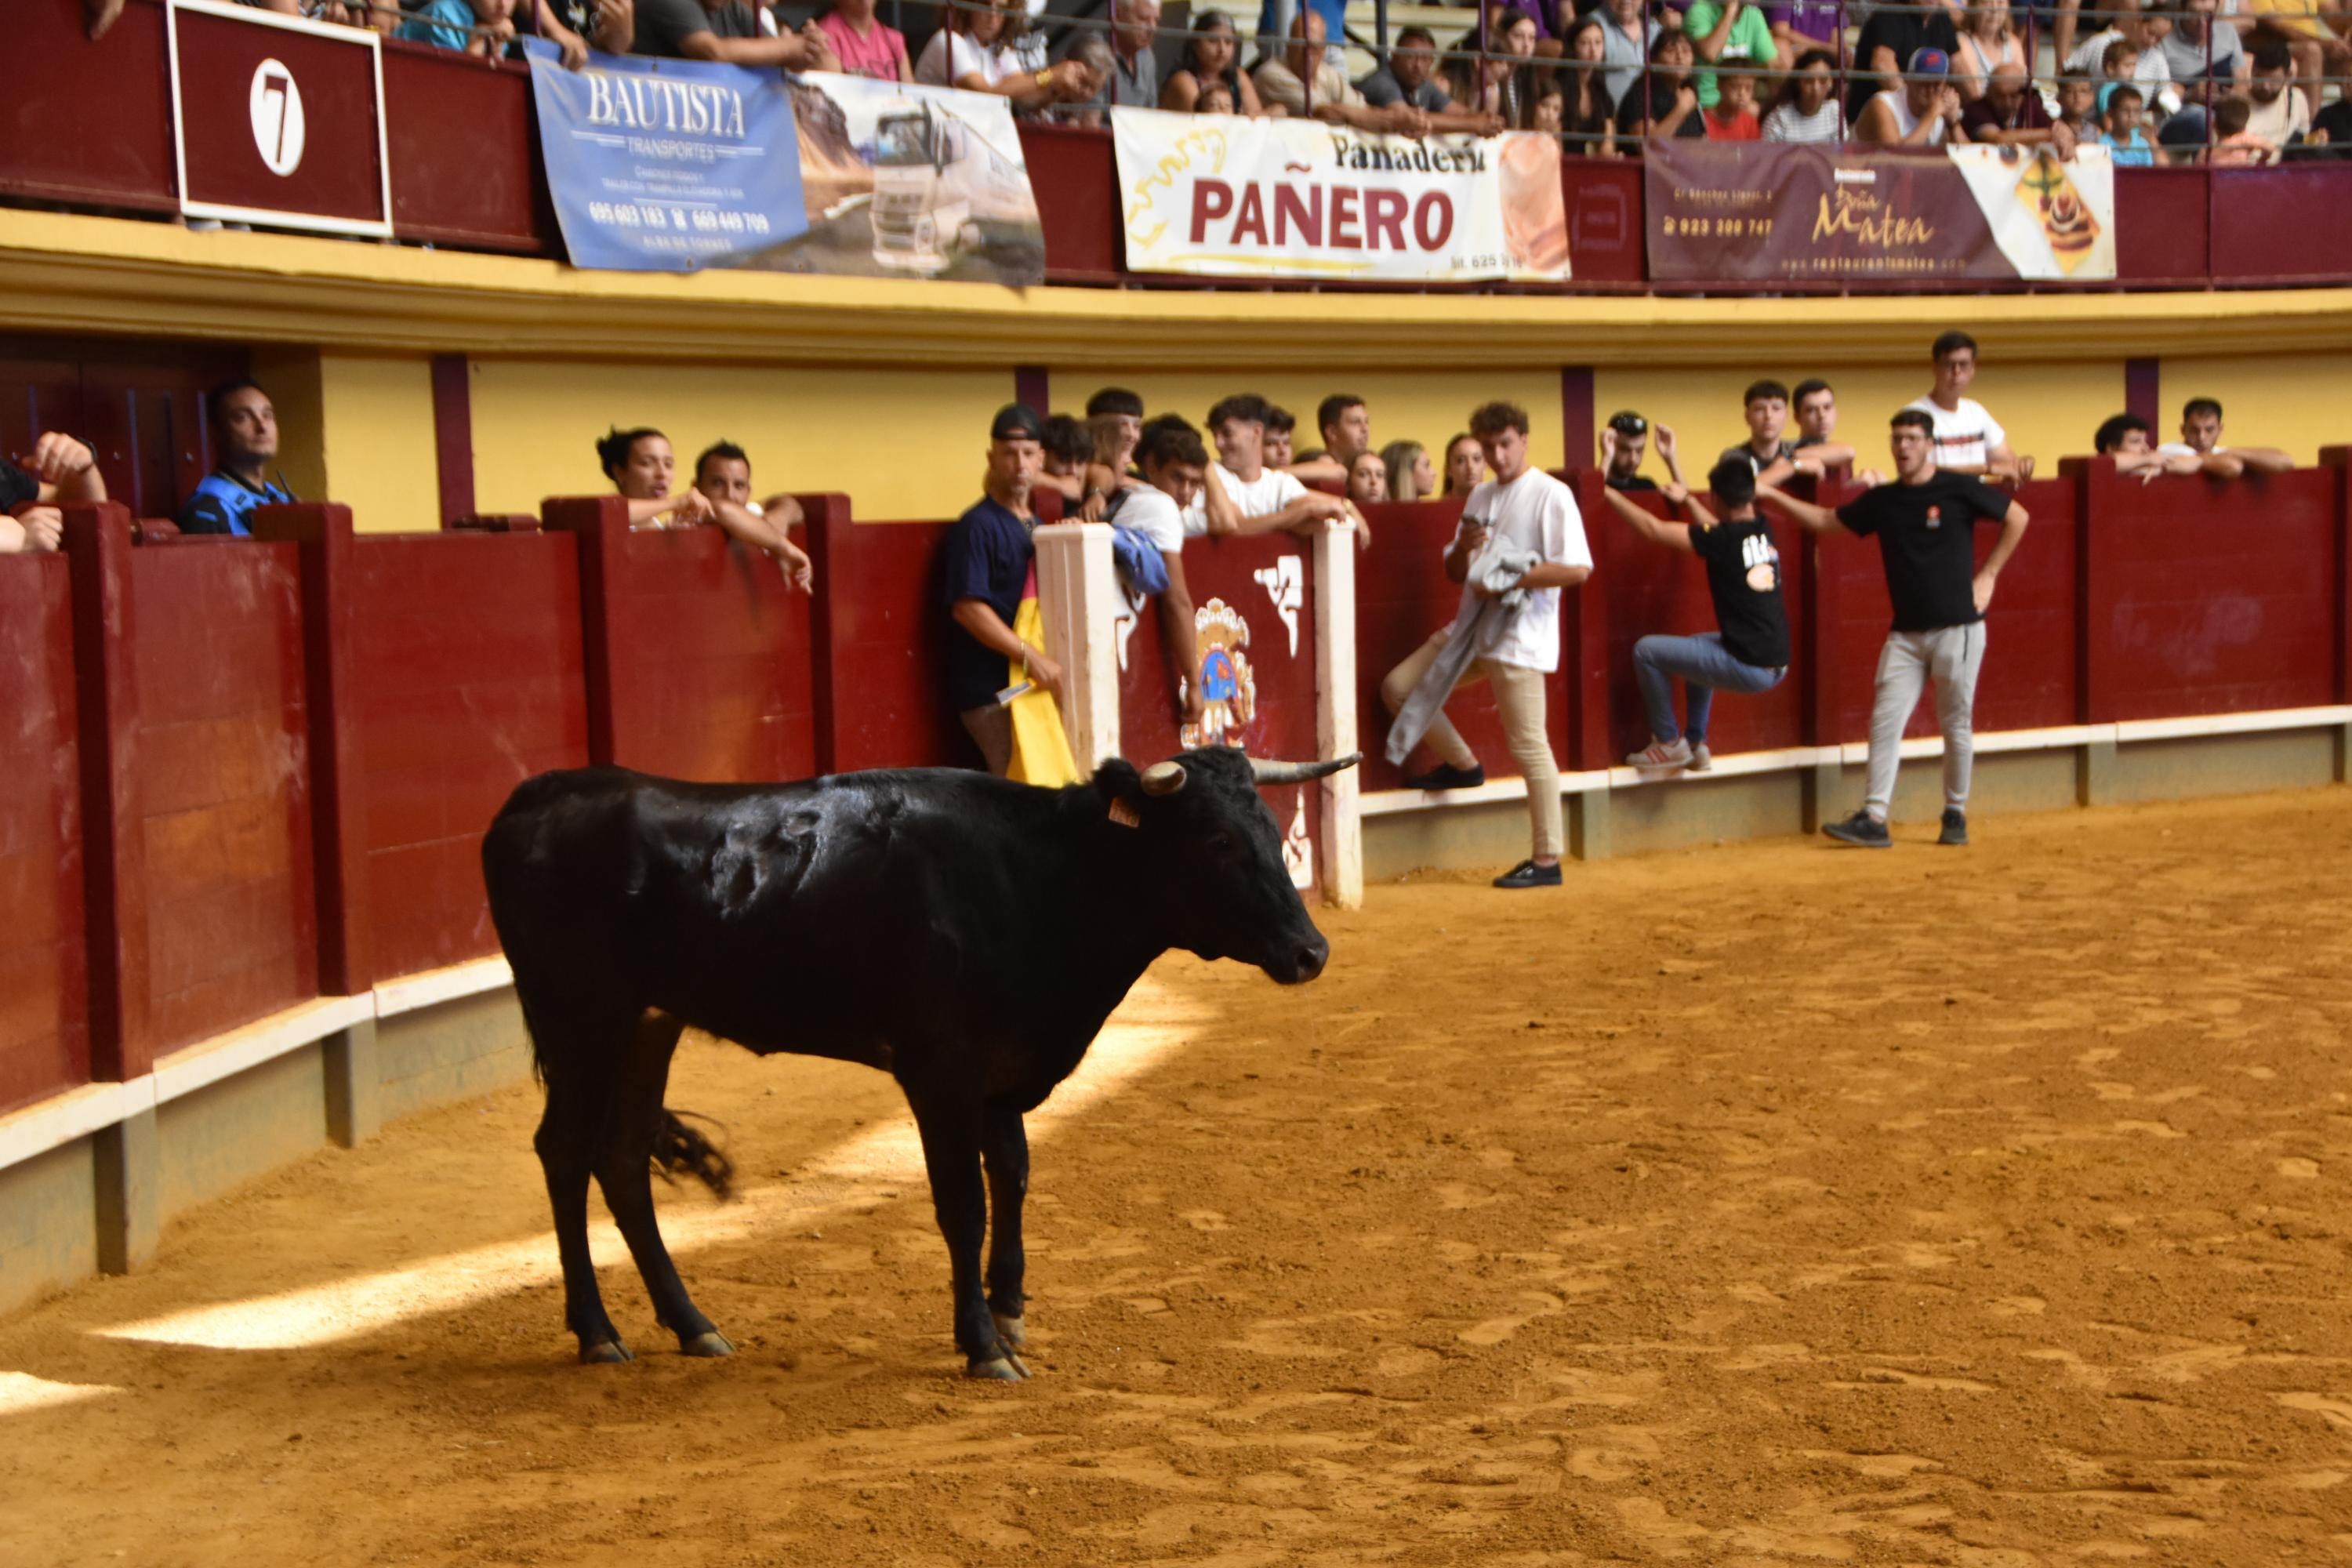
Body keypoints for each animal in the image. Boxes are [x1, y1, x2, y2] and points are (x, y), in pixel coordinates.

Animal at [480, 747, 1364, 1373]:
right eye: (1217, 839)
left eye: (1269, 829)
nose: (1311, 951)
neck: (1038, 878)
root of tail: (532, 799)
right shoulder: (940, 1074)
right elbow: (962, 1202)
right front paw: (983, 1347)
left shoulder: (1003, 1068)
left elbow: (1013, 1175)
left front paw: (1010, 1308)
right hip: (581, 1021)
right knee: (564, 1152)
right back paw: (597, 1332)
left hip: (648, 1026)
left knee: (622, 1159)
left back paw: (695, 1326)